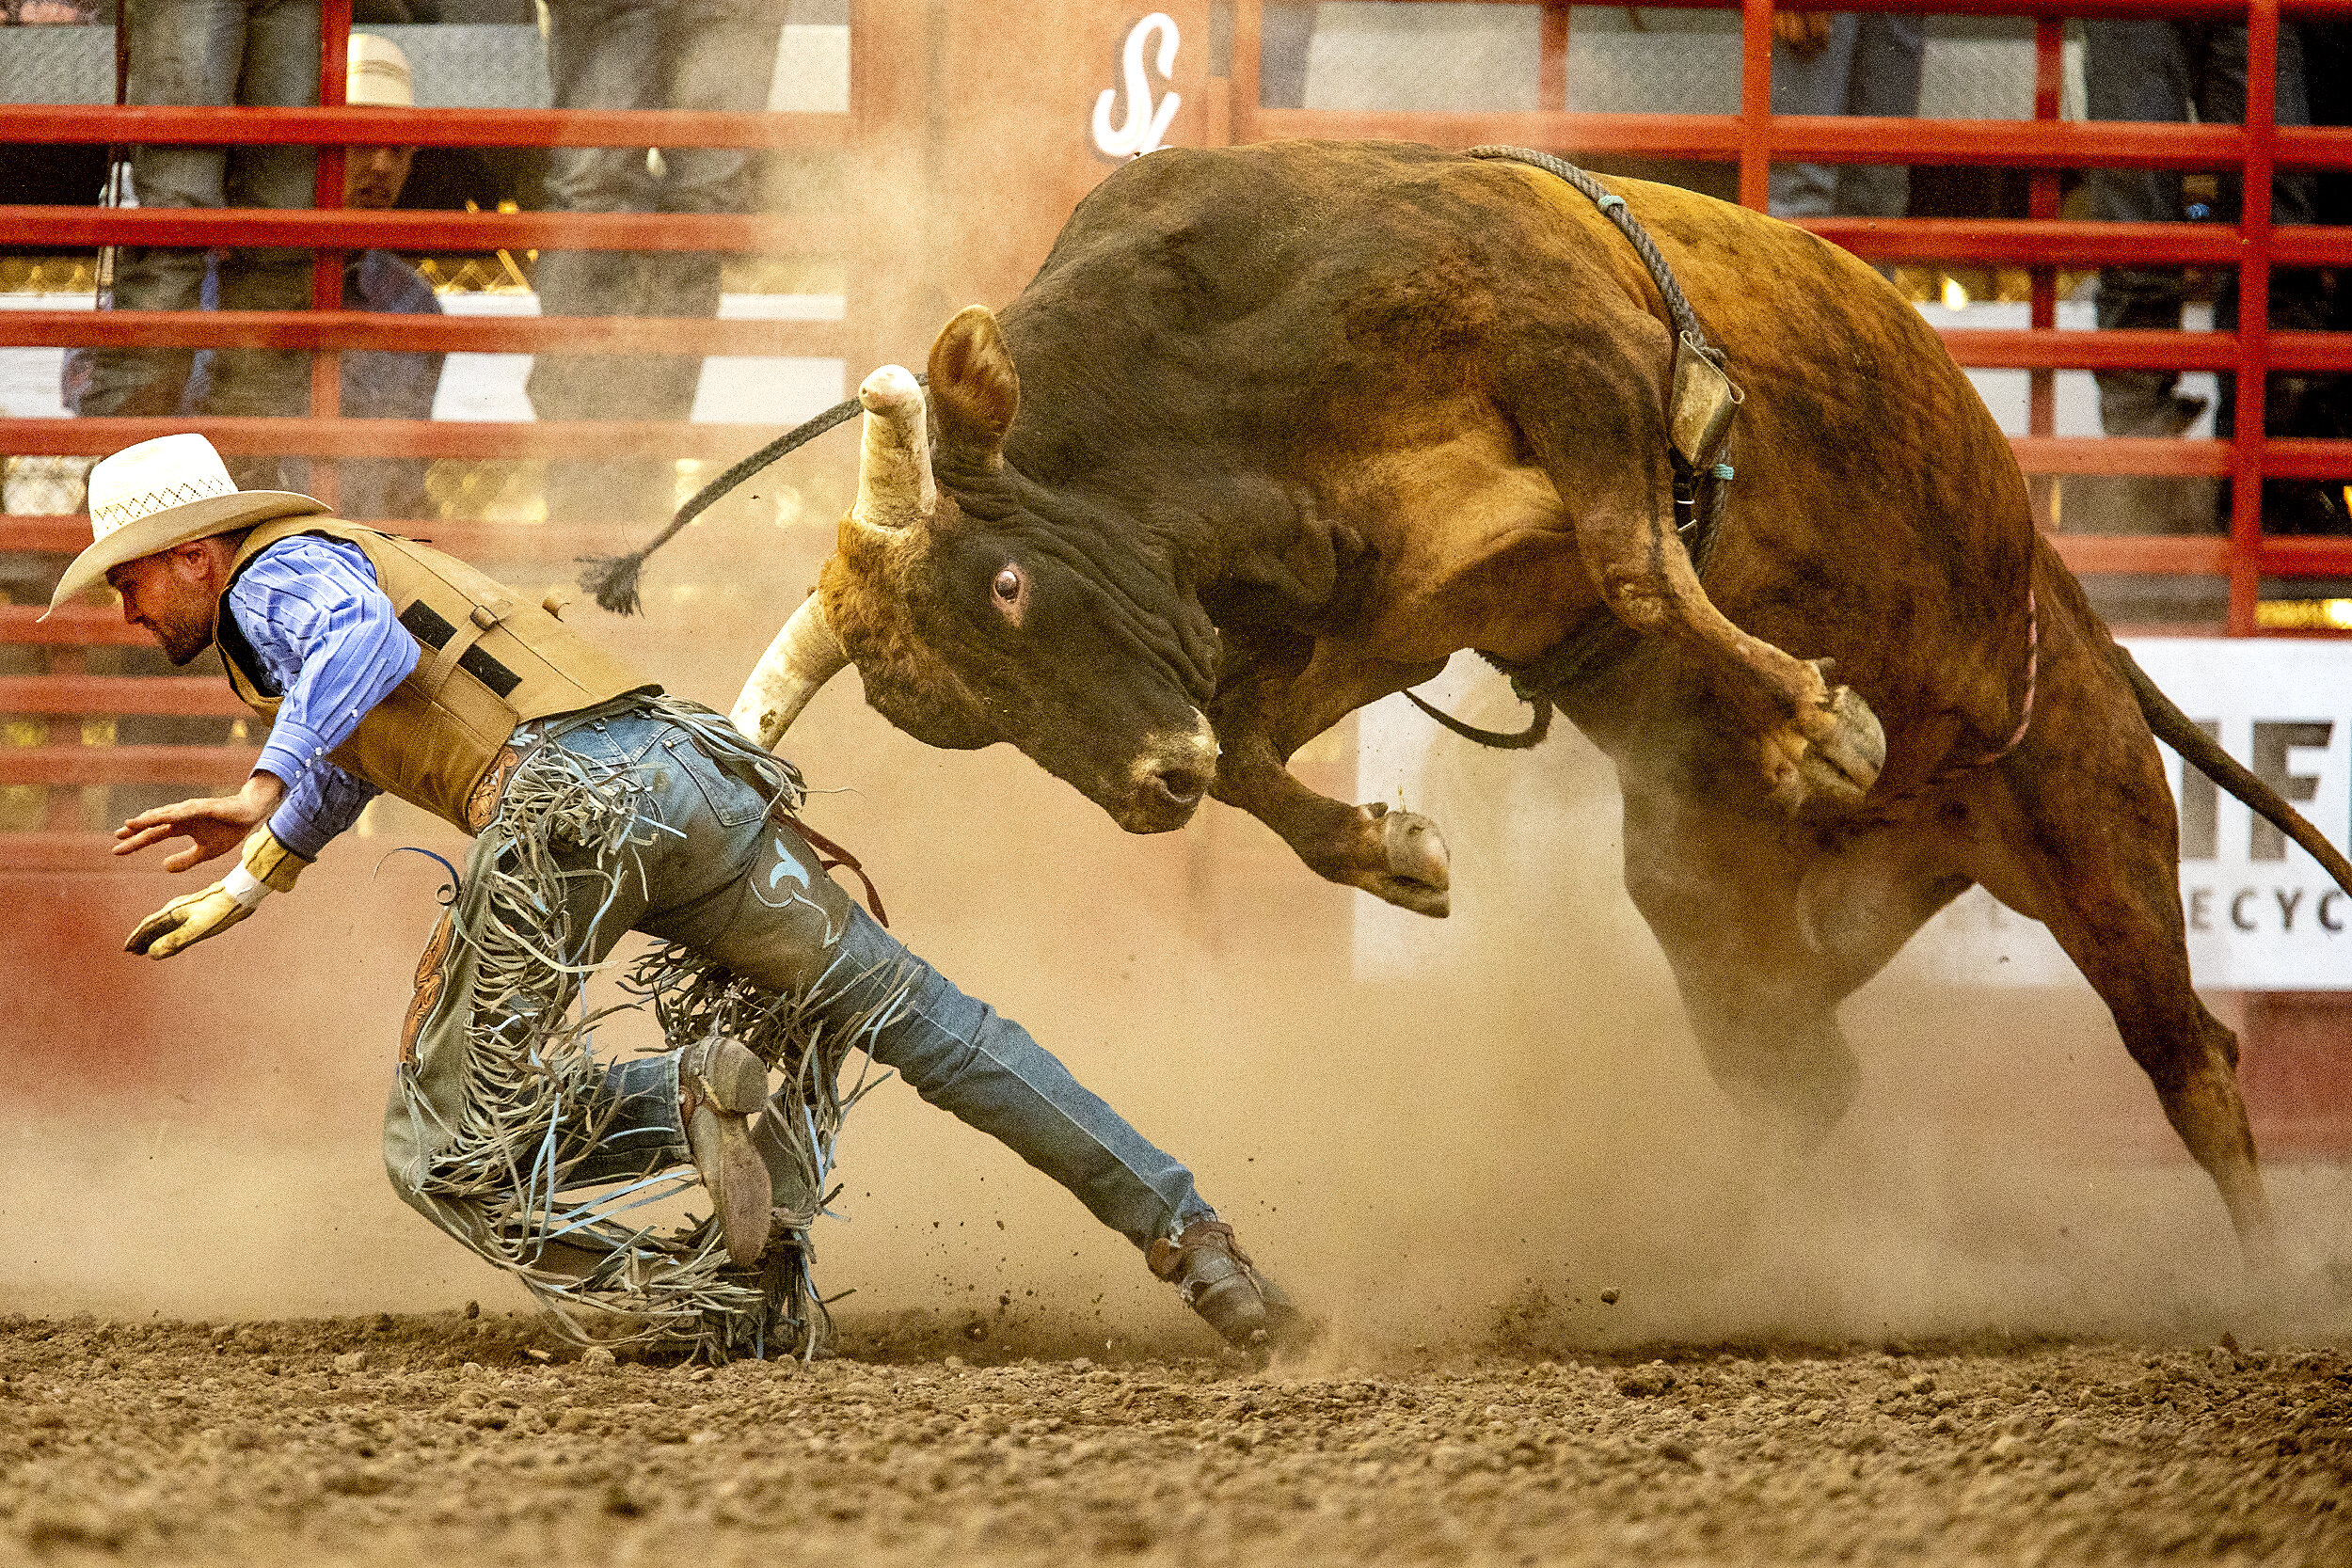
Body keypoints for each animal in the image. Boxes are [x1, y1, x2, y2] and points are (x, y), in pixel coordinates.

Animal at [706, 140, 2343, 1278]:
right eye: (961, 723)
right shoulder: (1395, 605)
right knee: (1806, 1079)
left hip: (2090, 809)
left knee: (2189, 1052)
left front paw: (1822, 724)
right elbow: (1259, 751)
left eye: (1006, 587)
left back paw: (2261, 1285)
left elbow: (1638, 562)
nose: (1143, 787)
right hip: (1730, 925)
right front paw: (1389, 847)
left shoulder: (1580, 369)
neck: (1231, 375)